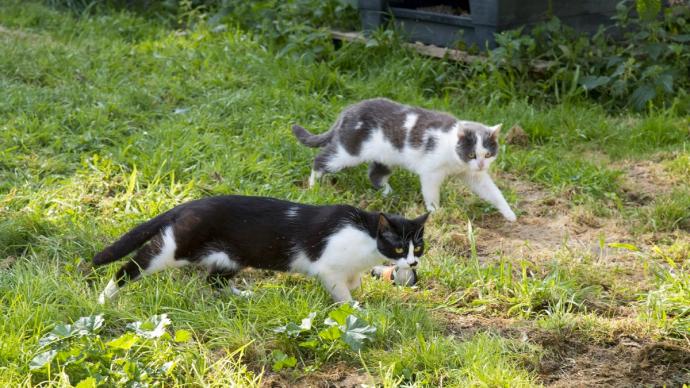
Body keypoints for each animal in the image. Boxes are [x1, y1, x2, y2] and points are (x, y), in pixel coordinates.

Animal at [91, 196, 424, 304]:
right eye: (398, 247)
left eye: (418, 246)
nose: (412, 263)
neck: (367, 236)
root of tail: (189, 205)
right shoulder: (327, 267)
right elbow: (341, 291)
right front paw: (355, 308)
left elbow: (353, 280)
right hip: (175, 247)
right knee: (132, 265)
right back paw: (104, 299)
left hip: (230, 257)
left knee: (214, 280)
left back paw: (243, 295)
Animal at [292, 98, 516, 221]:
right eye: (471, 154)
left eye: (487, 154)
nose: (480, 164)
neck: (455, 158)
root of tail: (348, 111)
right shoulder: (431, 172)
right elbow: (431, 193)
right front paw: (435, 211)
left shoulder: (473, 175)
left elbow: (493, 192)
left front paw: (509, 214)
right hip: (348, 152)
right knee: (321, 159)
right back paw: (313, 186)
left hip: (384, 157)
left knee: (375, 175)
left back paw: (389, 193)